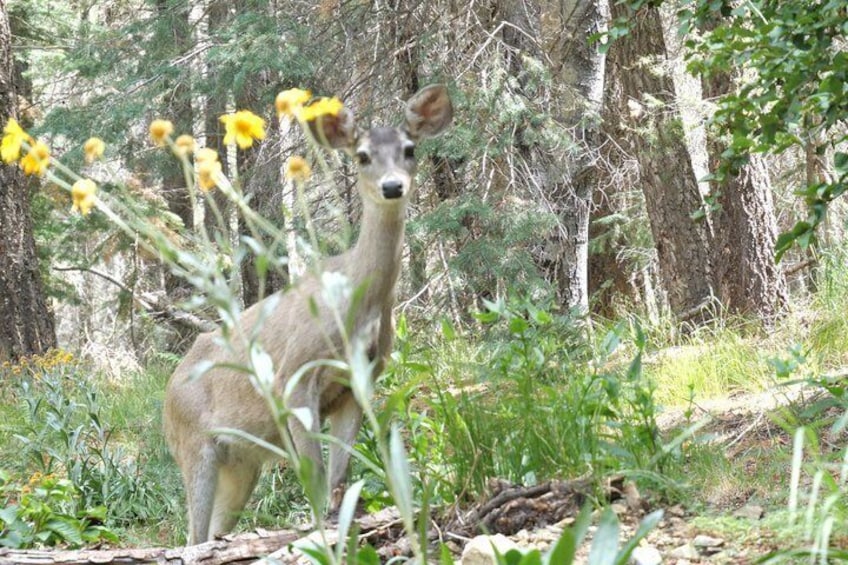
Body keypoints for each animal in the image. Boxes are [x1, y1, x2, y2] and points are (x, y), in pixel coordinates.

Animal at [163, 84, 453, 545]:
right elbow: (315, 476)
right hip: (194, 443)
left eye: (409, 149)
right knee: (192, 536)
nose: (393, 186)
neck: (355, 306)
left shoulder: (357, 383)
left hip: (242, 463)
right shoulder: (294, 376)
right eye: (362, 156)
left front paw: (338, 524)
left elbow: (340, 475)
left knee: (210, 530)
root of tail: (168, 392)